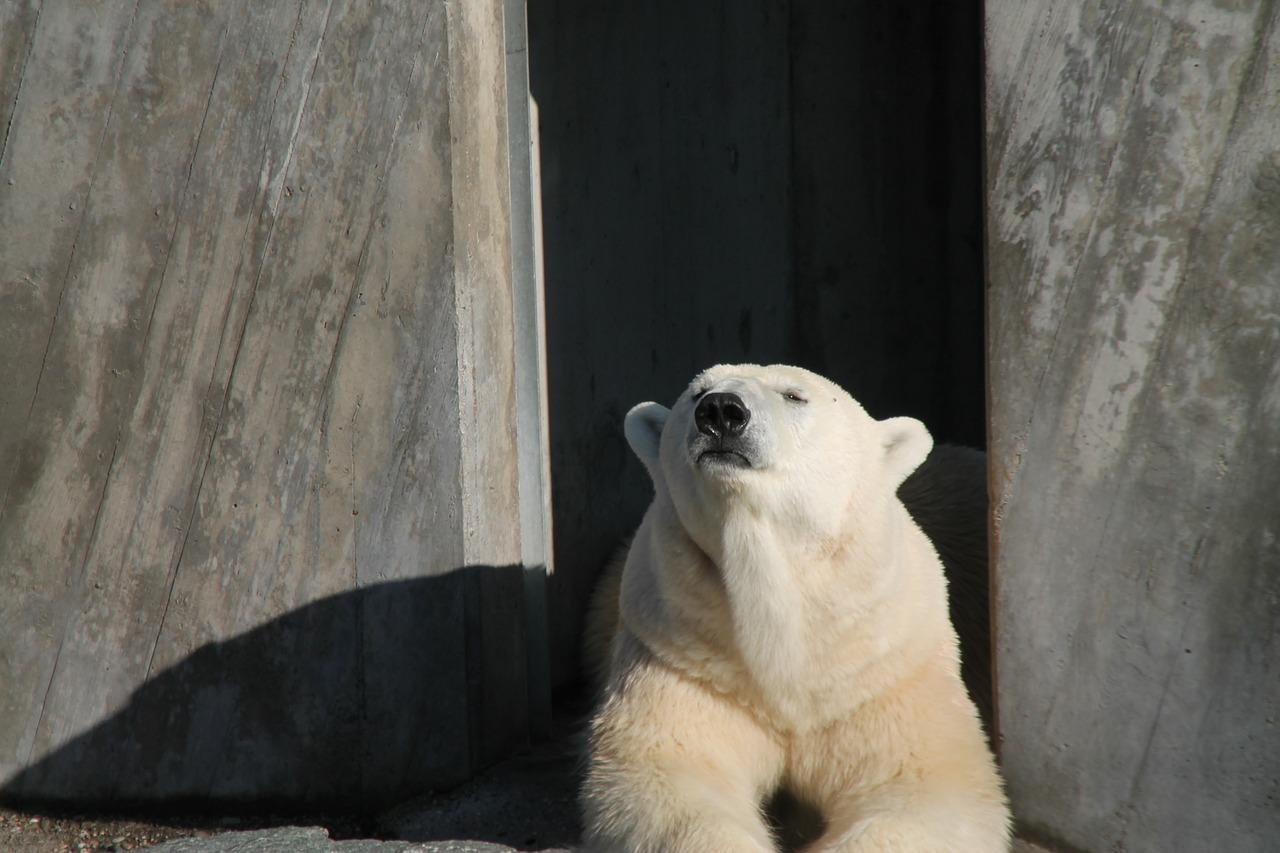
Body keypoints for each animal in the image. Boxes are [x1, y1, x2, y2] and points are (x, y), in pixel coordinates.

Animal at [581, 363, 1008, 850]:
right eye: (697, 393)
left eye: (794, 395)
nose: (721, 411)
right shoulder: (683, 656)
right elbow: (666, 774)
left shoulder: (877, 675)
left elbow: (924, 787)